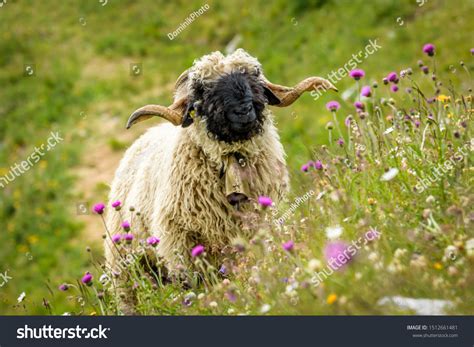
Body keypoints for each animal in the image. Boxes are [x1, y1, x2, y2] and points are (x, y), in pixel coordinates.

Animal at [104, 48, 336, 312]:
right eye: (202, 89)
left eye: (254, 77)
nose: (243, 110)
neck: (233, 160)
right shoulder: (178, 243)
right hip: (125, 267)